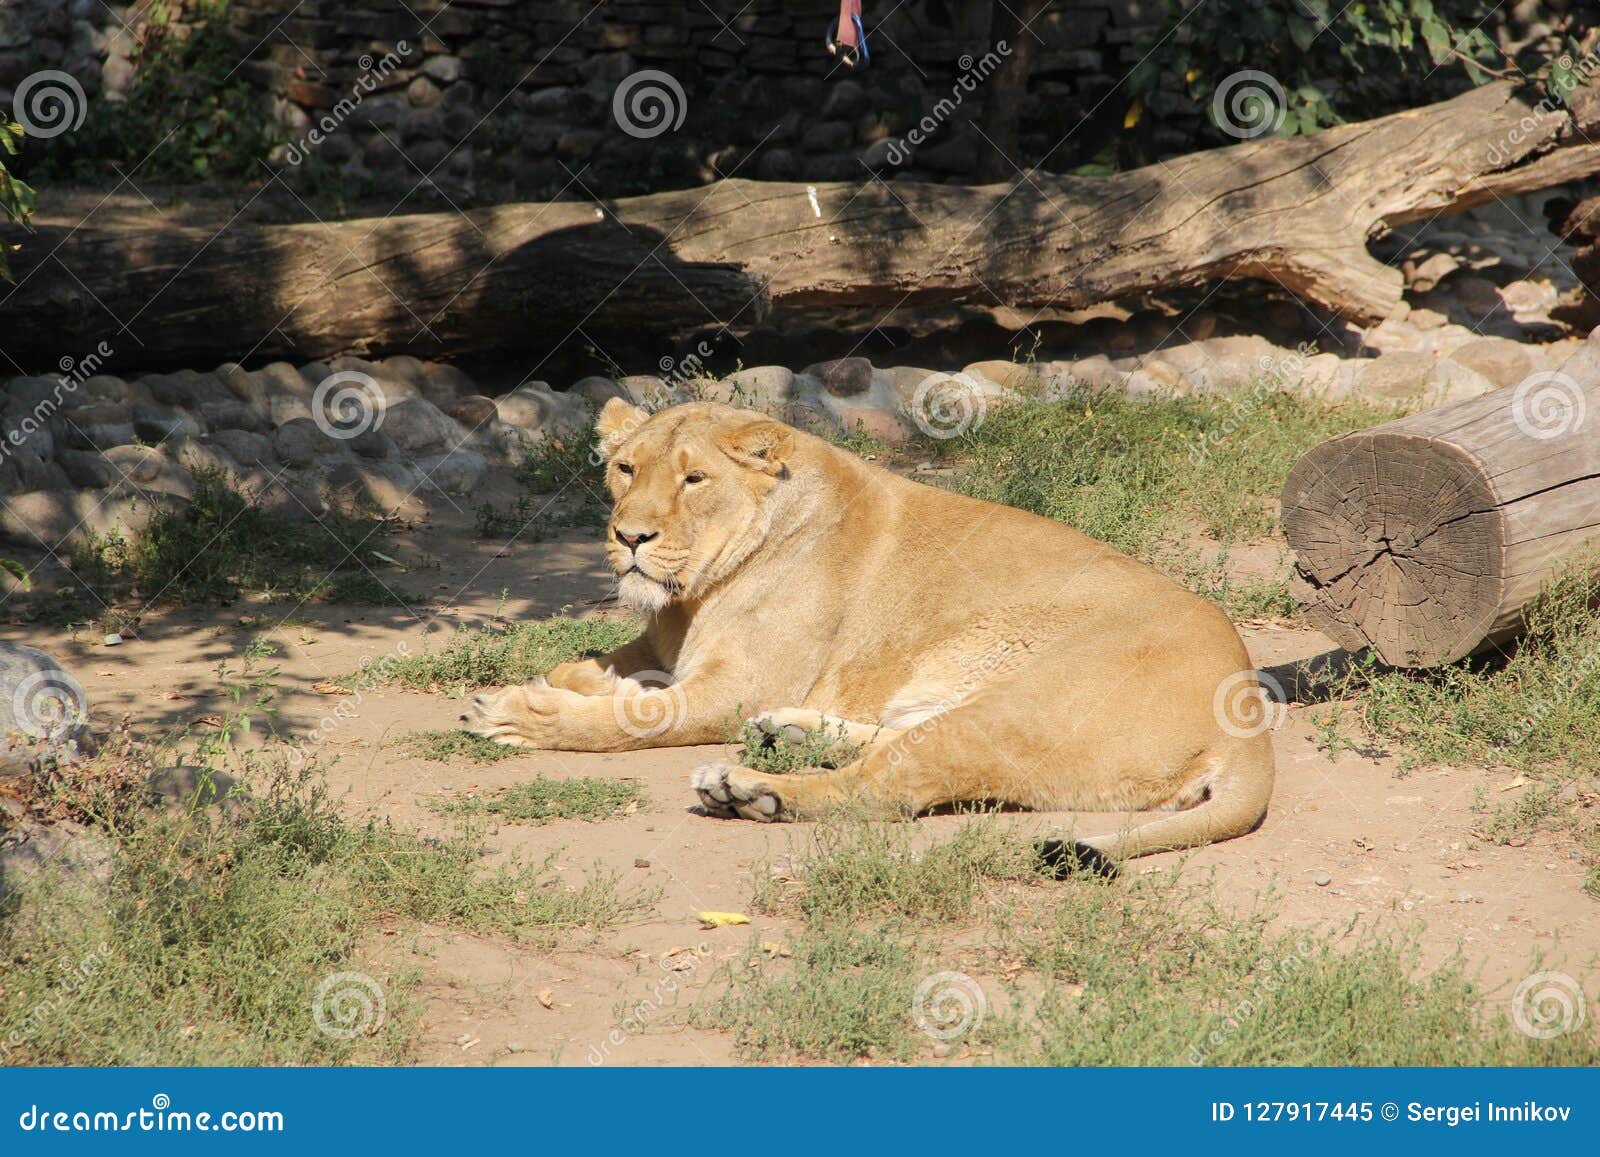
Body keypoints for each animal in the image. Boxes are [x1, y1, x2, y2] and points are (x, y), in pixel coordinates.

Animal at [466, 398, 1276, 871]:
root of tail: (1246, 721)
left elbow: (628, 720)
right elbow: (595, 669)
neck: (688, 597)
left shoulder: (733, 688)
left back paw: (749, 788)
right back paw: (786, 734)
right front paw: (572, 678)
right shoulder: (666, 650)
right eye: (626, 468)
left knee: (885, 786)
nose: (629, 536)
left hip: (1016, 707)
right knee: (890, 740)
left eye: (694, 480)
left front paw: (513, 710)